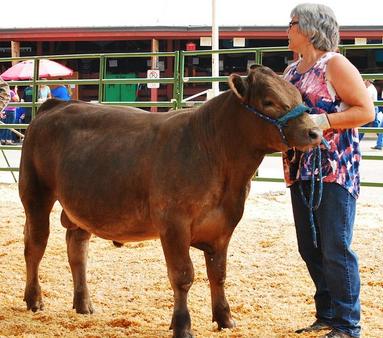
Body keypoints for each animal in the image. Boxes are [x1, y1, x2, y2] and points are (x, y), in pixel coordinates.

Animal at [19, 66, 322, 338]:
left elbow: (219, 273)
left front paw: (225, 319)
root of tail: (57, 104)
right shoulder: (173, 224)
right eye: (268, 101)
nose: (315, 132)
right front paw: (182, 325)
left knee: (77, 249)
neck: (217, 155)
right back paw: (34, 299)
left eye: (297, 95)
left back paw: (83, 304)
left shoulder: (224, 226)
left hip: (84, 205)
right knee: (35, 245)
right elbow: (183, 275)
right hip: (35, 195)